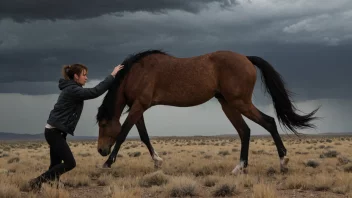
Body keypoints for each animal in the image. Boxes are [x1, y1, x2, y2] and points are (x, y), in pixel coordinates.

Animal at [95, 49, 320, 175]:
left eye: (103, 124)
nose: (101, 150)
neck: (137, 73)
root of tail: (246, 59)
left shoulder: (139, 105)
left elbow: (123, 133)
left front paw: (107, 163)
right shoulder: (139, 107)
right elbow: (143, 135)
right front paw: (157, 161)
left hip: (239, 102)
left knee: (268, 122)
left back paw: (283, 162)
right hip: (228, 104)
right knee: (245, 131)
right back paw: (240, 168)